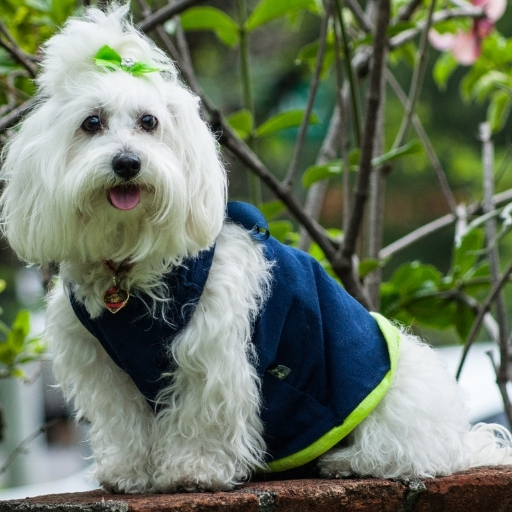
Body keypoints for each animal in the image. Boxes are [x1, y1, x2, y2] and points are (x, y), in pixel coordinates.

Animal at [1, 2, 512, 494]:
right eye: (91, 123)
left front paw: (194, 471)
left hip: (397, 393)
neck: (128, 261)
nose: (127, 162)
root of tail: (462, 441)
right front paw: (128, 472)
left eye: (149, 122)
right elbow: (123, 420)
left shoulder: (210, 346)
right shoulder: (102, 361)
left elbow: (202, 414)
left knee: (405, 450)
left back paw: (347, 461)